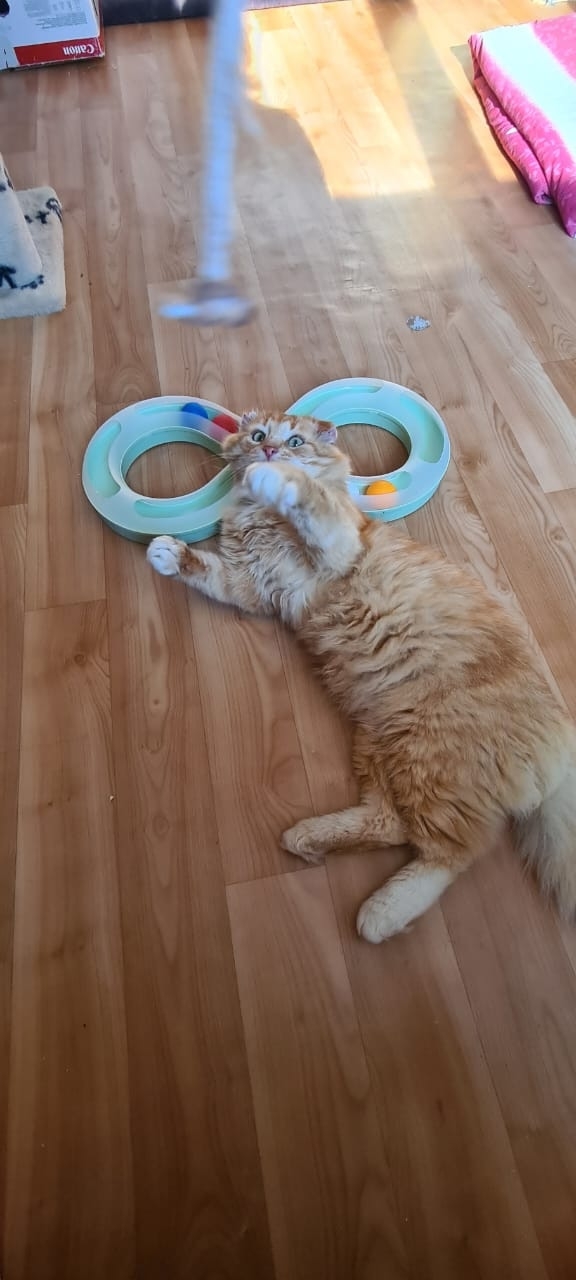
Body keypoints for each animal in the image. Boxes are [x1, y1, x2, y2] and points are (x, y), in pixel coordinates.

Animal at [147, 410, 576, 942]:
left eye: (294, 441)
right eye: (257, 435)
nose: (268, 453)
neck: (258, 520)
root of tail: (562, 742)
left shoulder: (336, 549)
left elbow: (313, 502)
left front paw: (278, 480)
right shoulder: (247, 586)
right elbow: (207, 571)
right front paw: (168, 554)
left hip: (426, 760)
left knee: (453, 852)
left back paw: (380, 914)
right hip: (381, 747)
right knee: (392, 826)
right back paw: (309, 839)